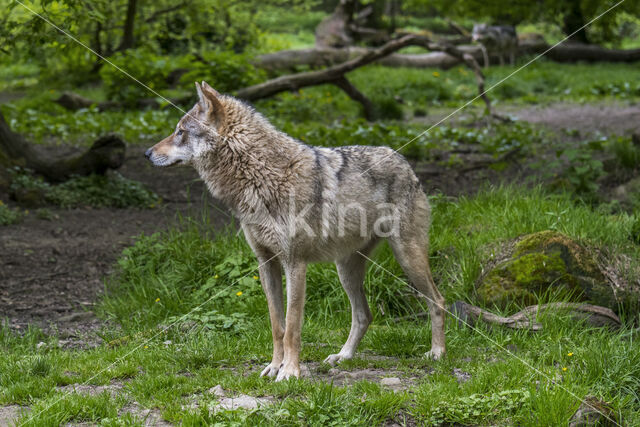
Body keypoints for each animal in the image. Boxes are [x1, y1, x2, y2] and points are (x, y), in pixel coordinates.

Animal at [144, 82, 444, 382]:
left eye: (180, 131)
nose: (146, 153)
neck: (260, 176)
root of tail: (402, 159)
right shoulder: (266, 263)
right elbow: (277, 326)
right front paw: (274, 367)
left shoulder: (295, 263)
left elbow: (292, 327)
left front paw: (290, 372)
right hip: (346, 270)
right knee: (364, 315)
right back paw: (343, 357)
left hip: (407, 258)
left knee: (437, 301)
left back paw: (437, 353)